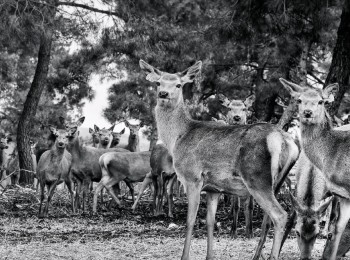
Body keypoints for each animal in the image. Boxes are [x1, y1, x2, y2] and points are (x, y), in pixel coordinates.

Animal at [138, 59, 300, 260]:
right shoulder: (214, 188)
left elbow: (190, 221)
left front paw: (185, 256)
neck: (178, 137)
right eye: (158, 83)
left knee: (280, 215)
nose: (163, 94)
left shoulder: (192, 178)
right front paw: (210, 255)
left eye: (178, 84)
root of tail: (285, 140)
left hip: (256, 178)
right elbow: (210, 221)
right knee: (277, 217)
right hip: (279, 181)